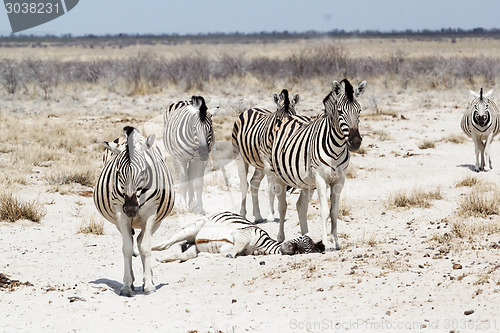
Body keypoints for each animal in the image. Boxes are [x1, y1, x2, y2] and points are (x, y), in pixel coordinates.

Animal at [94, 126, 175, 296]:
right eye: (118, 172)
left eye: (144, 172)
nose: (131, 209)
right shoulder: (120, 212)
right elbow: (126, 248)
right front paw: (126, 286)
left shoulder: (151, 212)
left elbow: (145, 247)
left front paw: (149, 285)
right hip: (118, 220)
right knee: (131, 241)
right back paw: (132, 281)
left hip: (157, 221)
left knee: (140, 240)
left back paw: (148, 278)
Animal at [152, 211, 324, 260]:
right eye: (299, 239)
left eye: (300, 252)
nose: (288, 248)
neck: (261, 246)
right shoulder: (243, 234)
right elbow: (237, 246)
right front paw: (230, 255)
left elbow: (229, 251)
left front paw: (224, 254)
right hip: (195, 227)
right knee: (169, 242)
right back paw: (153, 249)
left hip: (194, 244)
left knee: (183, 255)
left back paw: (163, 259)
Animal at [230, 89, 300, 222]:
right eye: (278, 114)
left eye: (293, 114)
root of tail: (251, 108)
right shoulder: (269, 164)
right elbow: (271, 189)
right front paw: (271, 215)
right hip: (241, 157)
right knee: (244, 184)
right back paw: (242, 214)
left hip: (260, 164)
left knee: (254, 183)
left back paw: (258, 216)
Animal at [272, 78, 366, 249]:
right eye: (340, 112)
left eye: (359, 111)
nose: (355, 142)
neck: (337, 147)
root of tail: (289, 116)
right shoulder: (321, 178)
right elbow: (324, 211)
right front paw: (326, 244)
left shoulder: (339, 179)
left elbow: (334, 211)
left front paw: (336, 242)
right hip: (278, 176)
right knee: (282, 206)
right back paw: (280, 238)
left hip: (307, 183)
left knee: (301, 206)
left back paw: (306, 237)